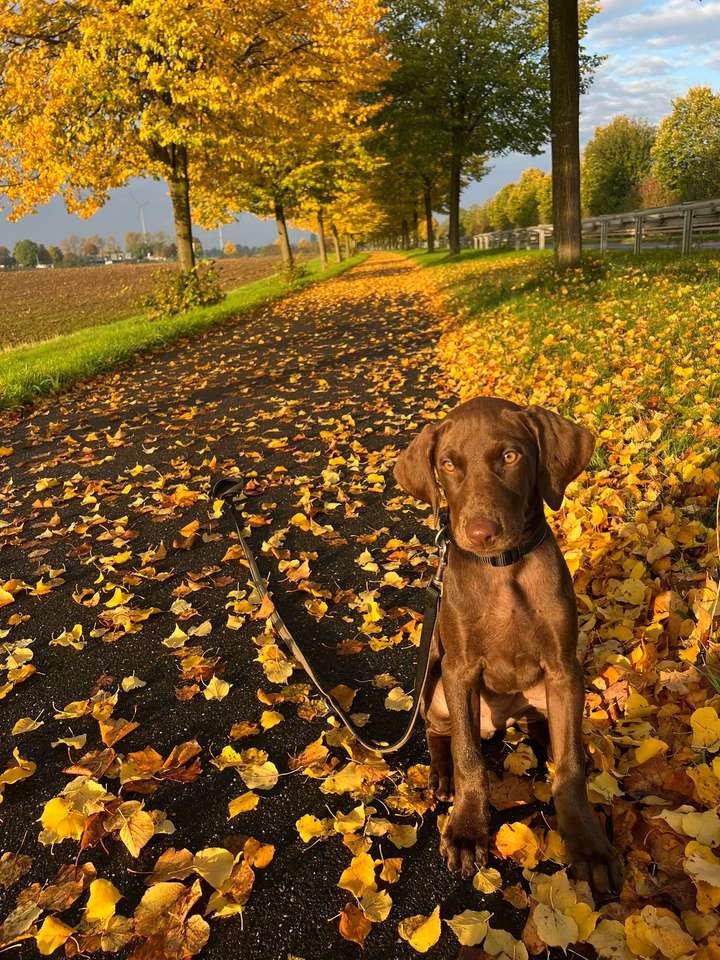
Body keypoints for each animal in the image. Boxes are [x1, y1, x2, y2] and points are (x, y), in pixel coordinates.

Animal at [396, 394, 620, 896]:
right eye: (448, 464)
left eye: (511, 456)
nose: (480, 533)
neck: (502, 570)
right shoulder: (460, 671)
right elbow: (469, 759)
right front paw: (466, 830)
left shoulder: (564, 670)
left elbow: (570, 768)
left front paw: (588, 844)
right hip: (437, 685)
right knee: (440, 733)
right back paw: (441, 775)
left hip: (544, 693)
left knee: (547, 727)